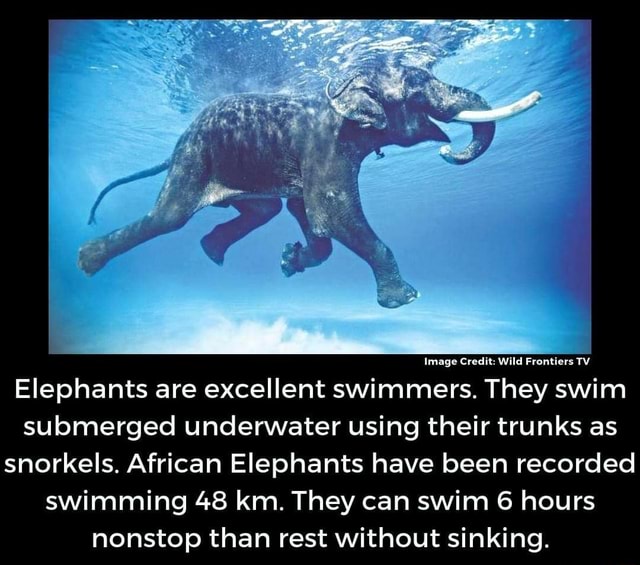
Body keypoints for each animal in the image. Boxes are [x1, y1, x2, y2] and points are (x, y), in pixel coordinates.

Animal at [78, 52, 540, 308]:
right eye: (417, 90)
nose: (448, 152)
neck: (342, 88)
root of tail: (174, 147)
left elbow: (307, 213)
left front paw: (289, 261)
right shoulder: (326, 150)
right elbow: (333, 215)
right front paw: (405, 299)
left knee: (264, 209)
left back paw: (212, 253)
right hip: (194, 161)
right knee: (168, 218)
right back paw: (87, 262)